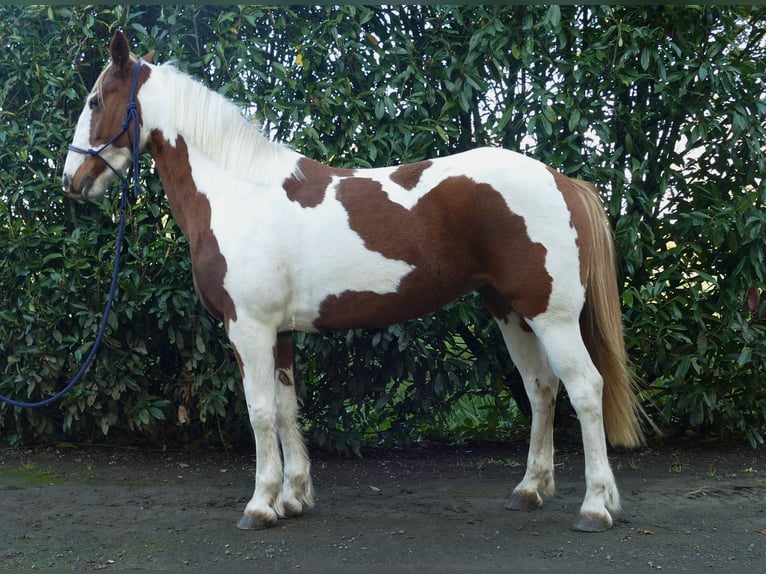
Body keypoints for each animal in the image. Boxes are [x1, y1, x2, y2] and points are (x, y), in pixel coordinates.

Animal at [61, 31, 648, 536]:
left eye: (94, 100)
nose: (71, 181)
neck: (236, 191)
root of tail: (563, 181)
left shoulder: (249, 329)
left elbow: (258, 411)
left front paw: (260, 504)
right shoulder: (280, 333)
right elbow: (286, 408)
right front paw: (293, 498)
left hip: (553, 316)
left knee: (585, 389)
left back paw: (595, 507)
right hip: (510, 311)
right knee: (541, 388)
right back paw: (530, 489)